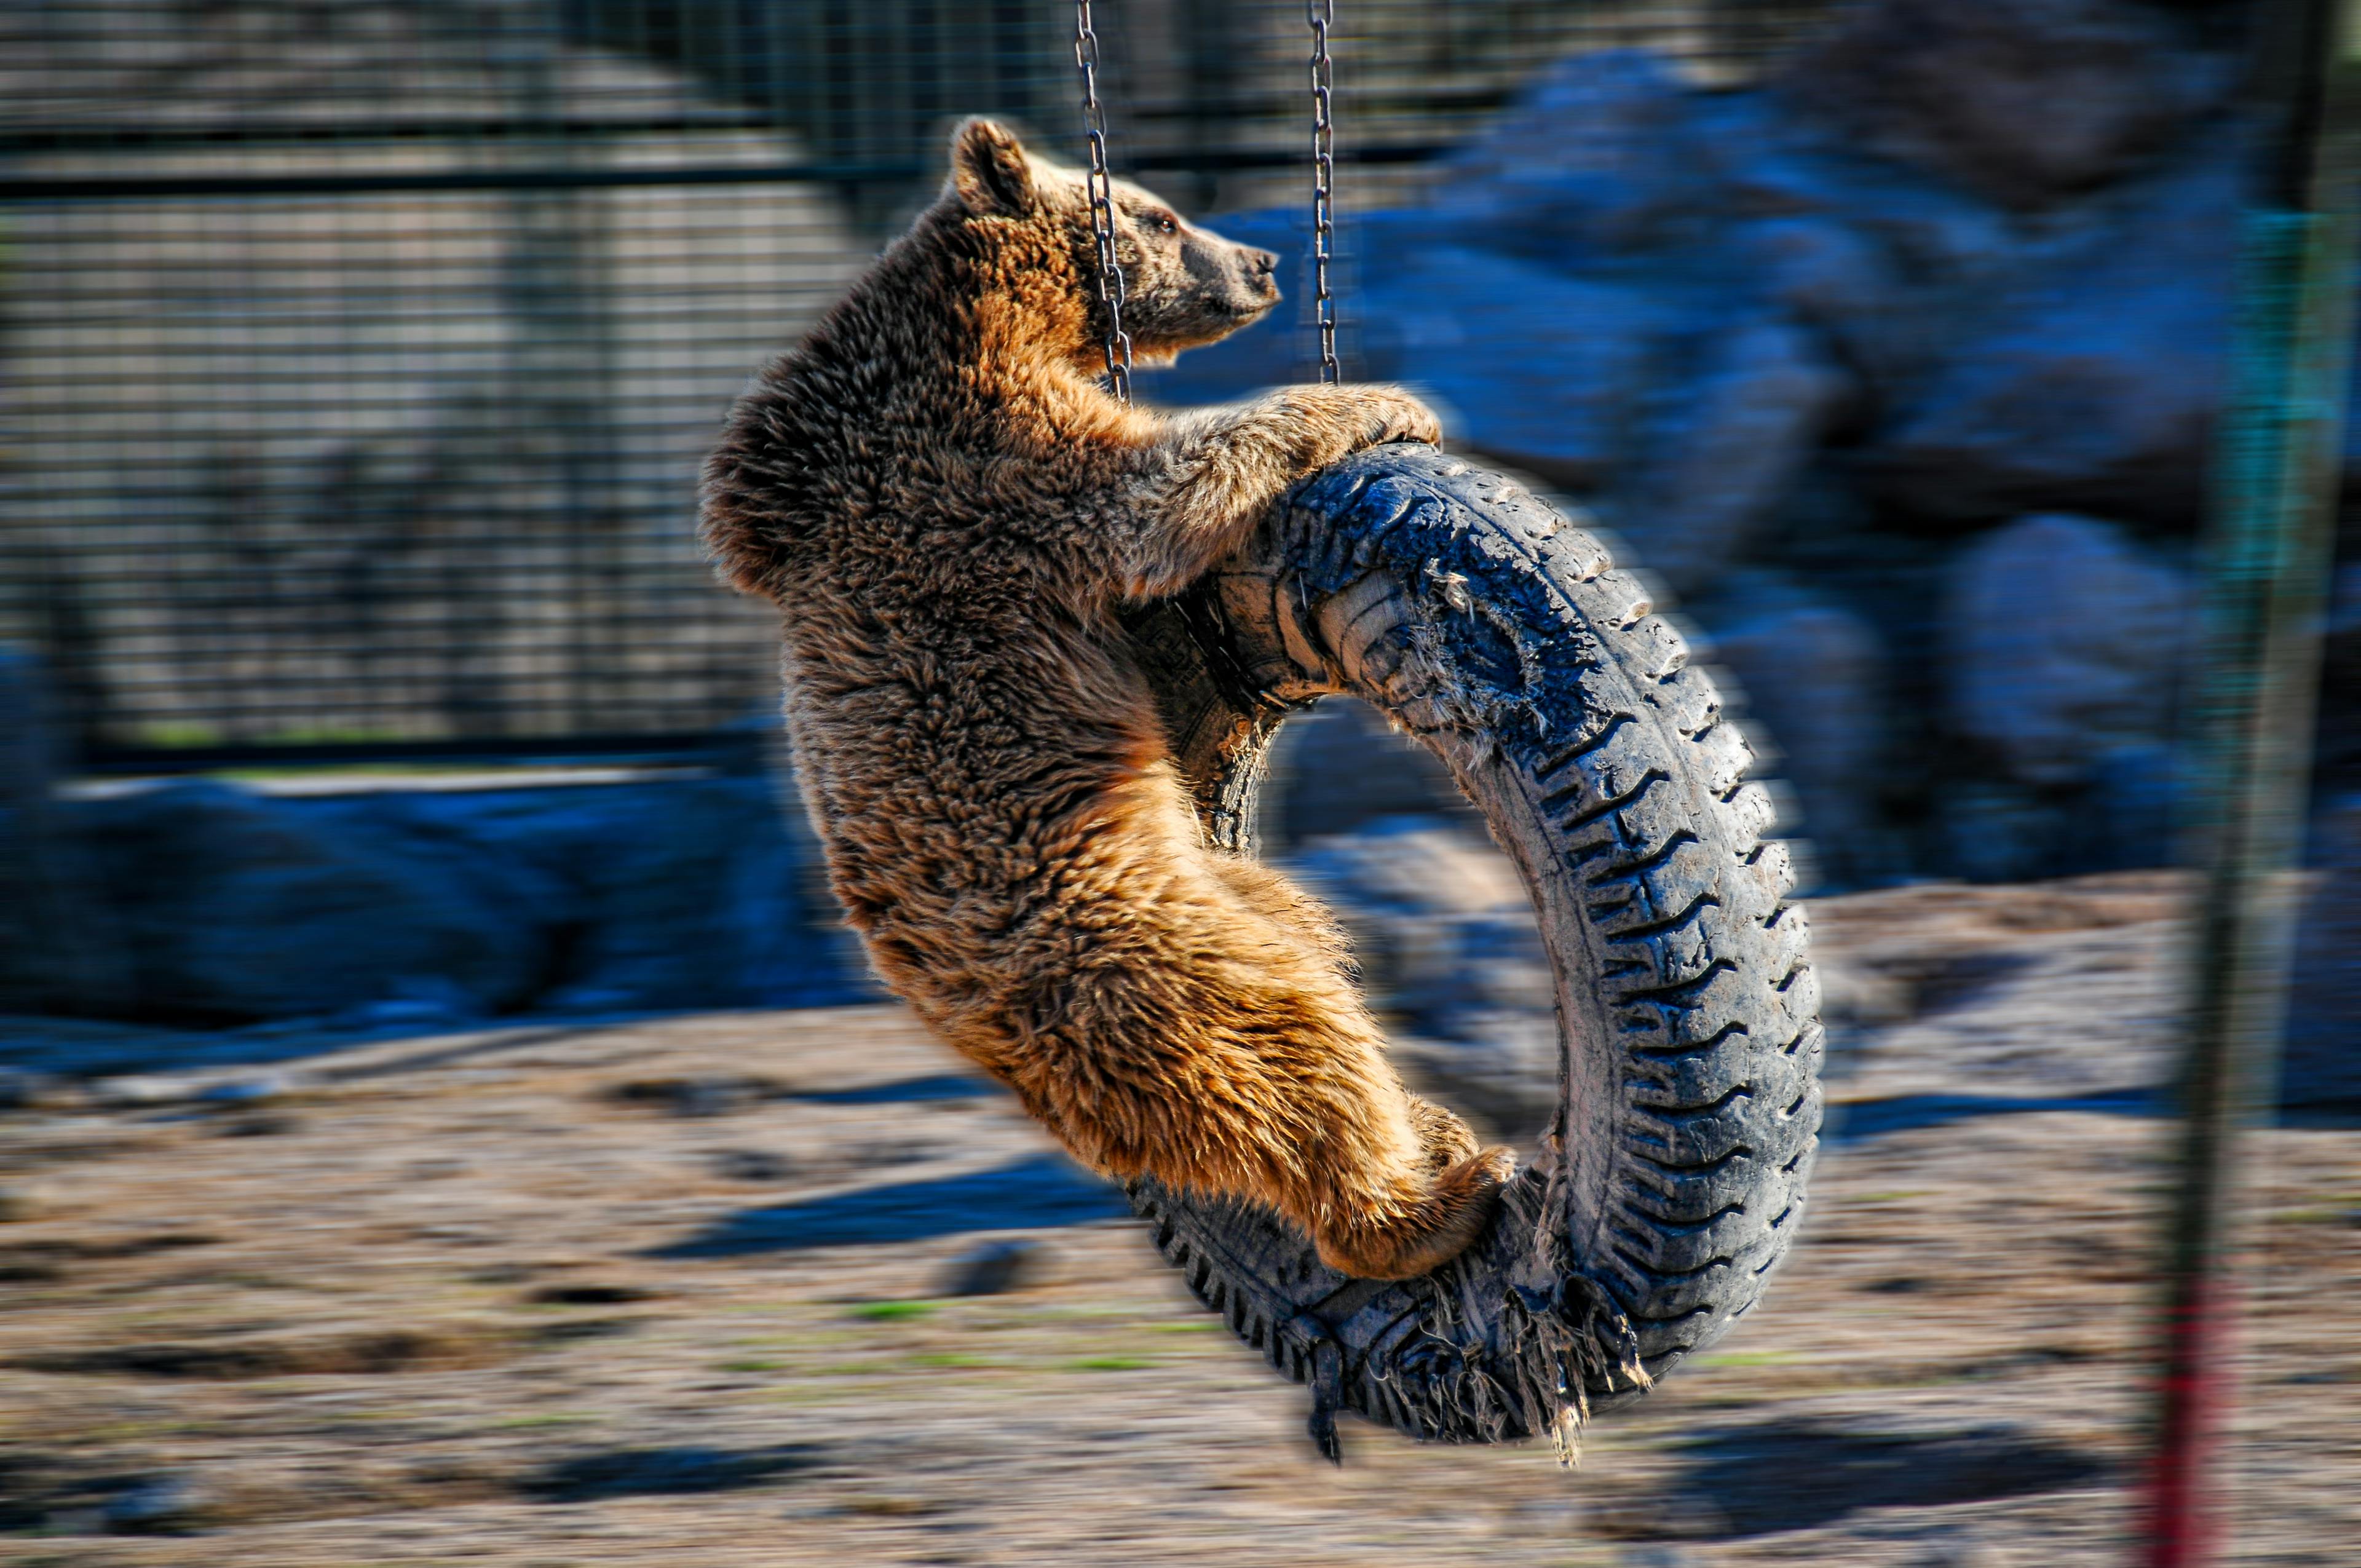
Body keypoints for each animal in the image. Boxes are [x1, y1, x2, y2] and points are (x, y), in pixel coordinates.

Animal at [700, 117, 1512, 1280]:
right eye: (1162, 213)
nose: (1264, 262)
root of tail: (1016, 1070)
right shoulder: (985, 469)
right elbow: (1164, 486)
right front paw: (1391, 401)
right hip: (1129, 954)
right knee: (1288, 1045)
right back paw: (1428, 1200)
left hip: (1210, 894)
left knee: (1303, 945)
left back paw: (1433, 1133)